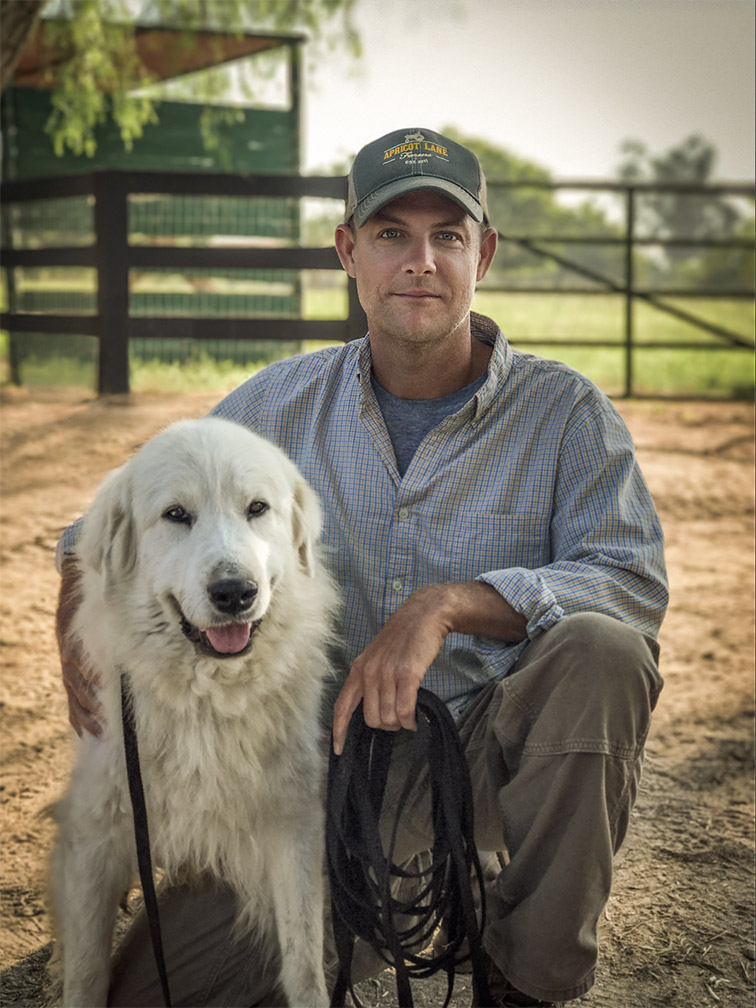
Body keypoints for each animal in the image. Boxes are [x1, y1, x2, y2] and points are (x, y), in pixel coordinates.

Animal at [48, 417, 338, 1008]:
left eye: (257, 508)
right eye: (176, 515)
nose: (235, 592)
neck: (207, 700)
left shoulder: (294, 820)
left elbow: (304, 965)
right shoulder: (94, 835)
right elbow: (86, 974)